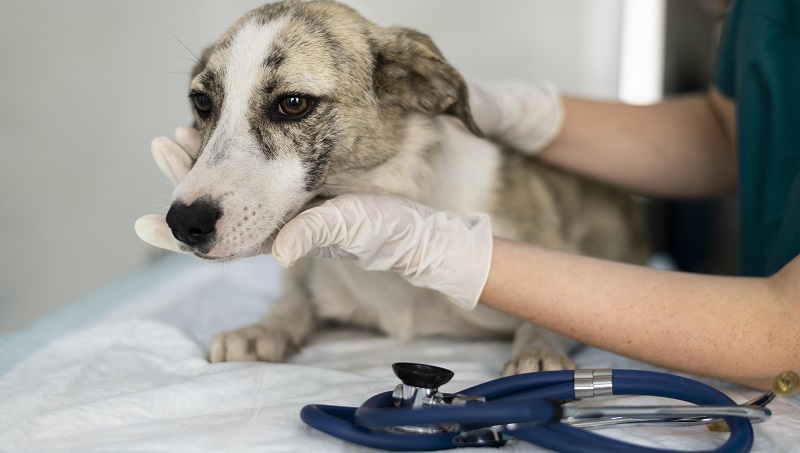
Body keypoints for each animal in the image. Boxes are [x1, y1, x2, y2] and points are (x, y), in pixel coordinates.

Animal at [166, 0, 648, 374]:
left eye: (293, 104)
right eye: (202, 102)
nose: (183, 223)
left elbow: (550, 316)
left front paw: (538, 352)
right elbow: (295, 299)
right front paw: (262, 328)